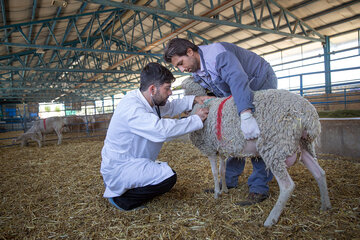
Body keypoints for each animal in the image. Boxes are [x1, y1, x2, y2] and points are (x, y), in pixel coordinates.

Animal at [181, 76, 330, 227]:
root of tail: (310, 116)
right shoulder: (221, 149)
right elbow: (222, 170)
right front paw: (225, 189)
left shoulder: (210, 148)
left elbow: (214, 172)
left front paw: (217, 193)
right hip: (304, 145)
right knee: (320, 173)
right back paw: (325, 206)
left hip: (275, 147)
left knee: (287, 186)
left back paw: (270, 220)